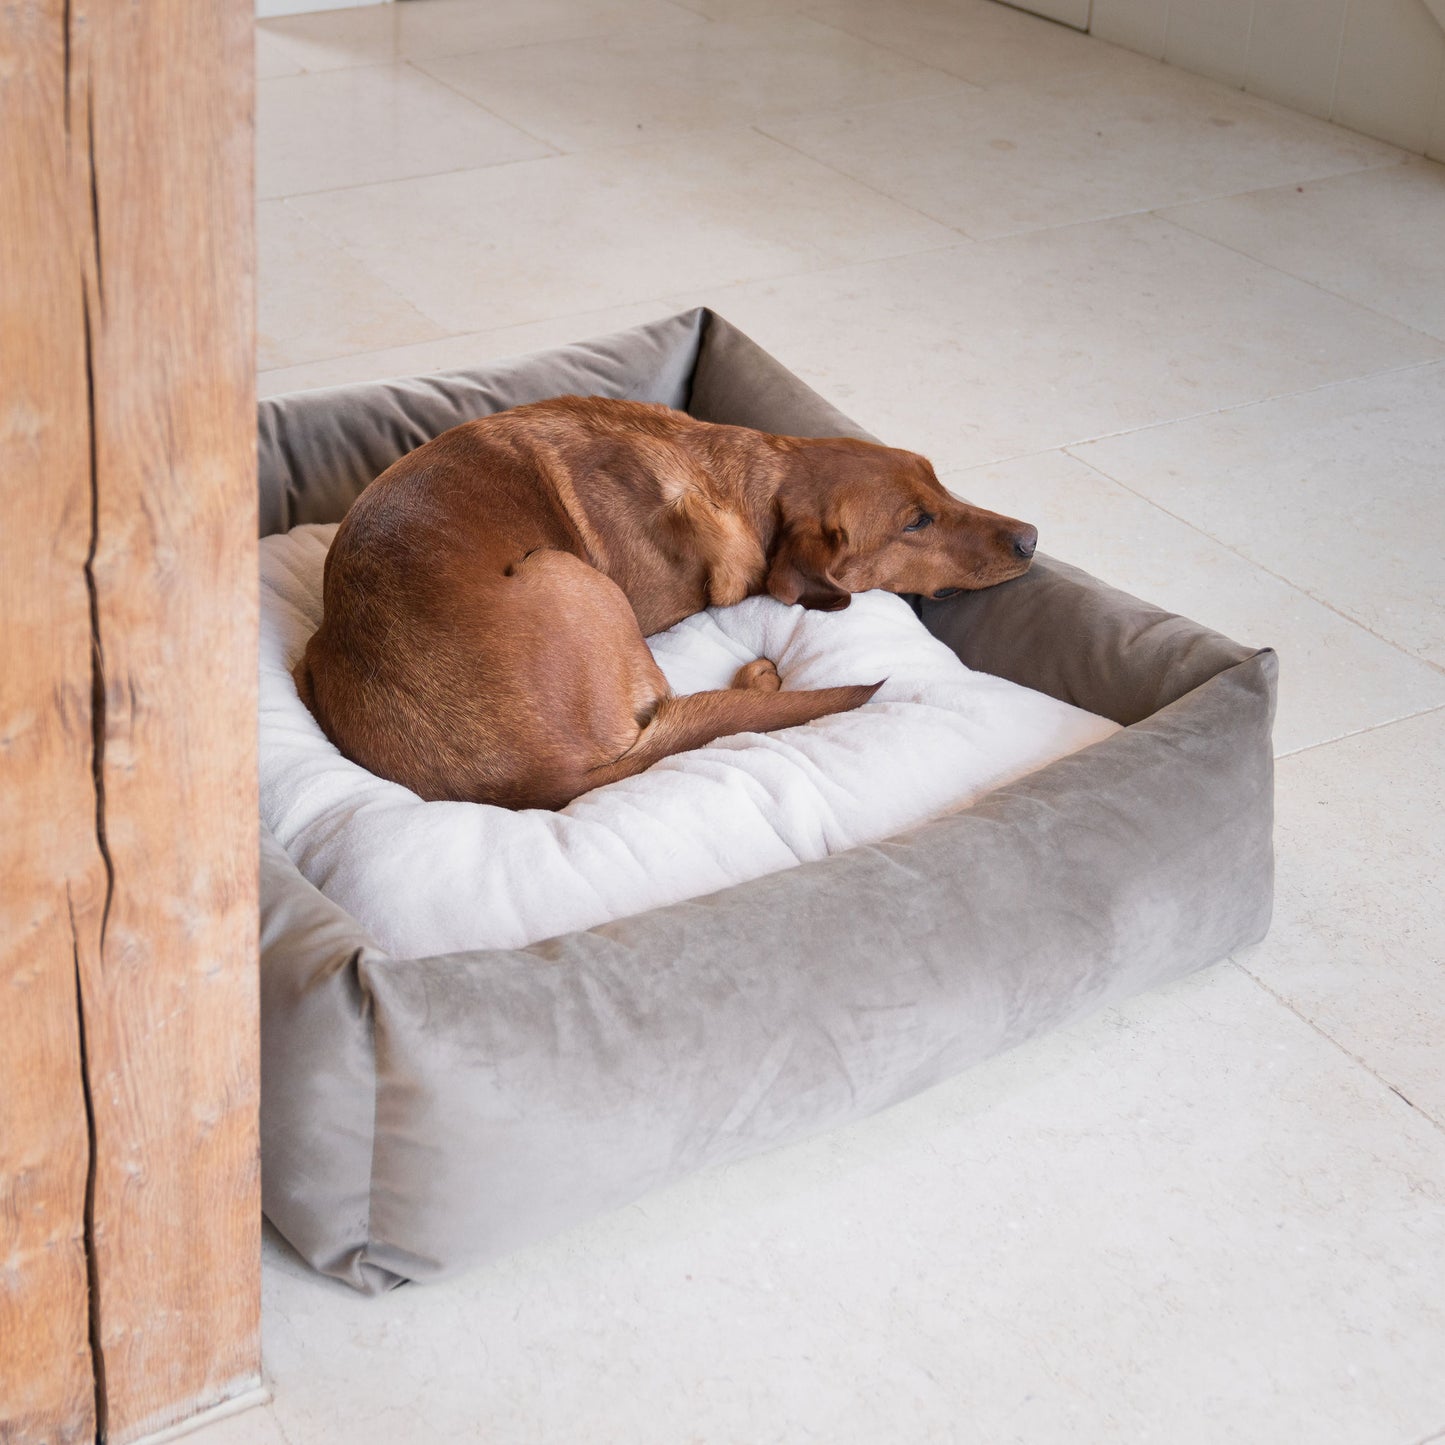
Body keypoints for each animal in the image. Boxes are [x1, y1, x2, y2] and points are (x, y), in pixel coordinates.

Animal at [296, 395, 1040, 814]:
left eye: (939, 484)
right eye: (916, 522)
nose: (1032, 538)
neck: (741, 481)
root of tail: (539, 779)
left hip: (312, 652)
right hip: (567, 571)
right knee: (681, 701)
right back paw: (757, 679)